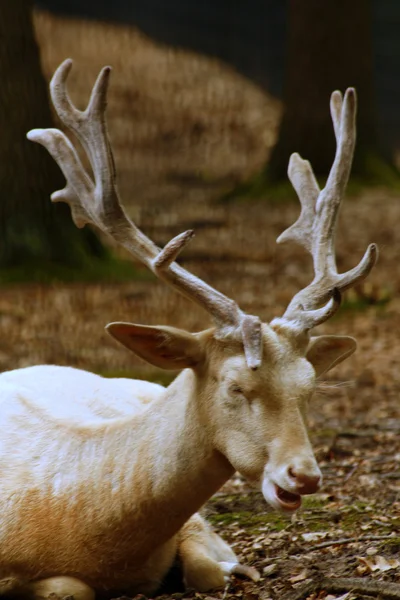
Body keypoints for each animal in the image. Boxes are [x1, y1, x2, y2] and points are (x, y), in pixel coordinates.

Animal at [0, 62, 378, 600]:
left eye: (310, 388)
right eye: (236, 386)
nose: (303, 475)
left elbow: (207, 569)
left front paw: (237, 568)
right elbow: (68, 588)